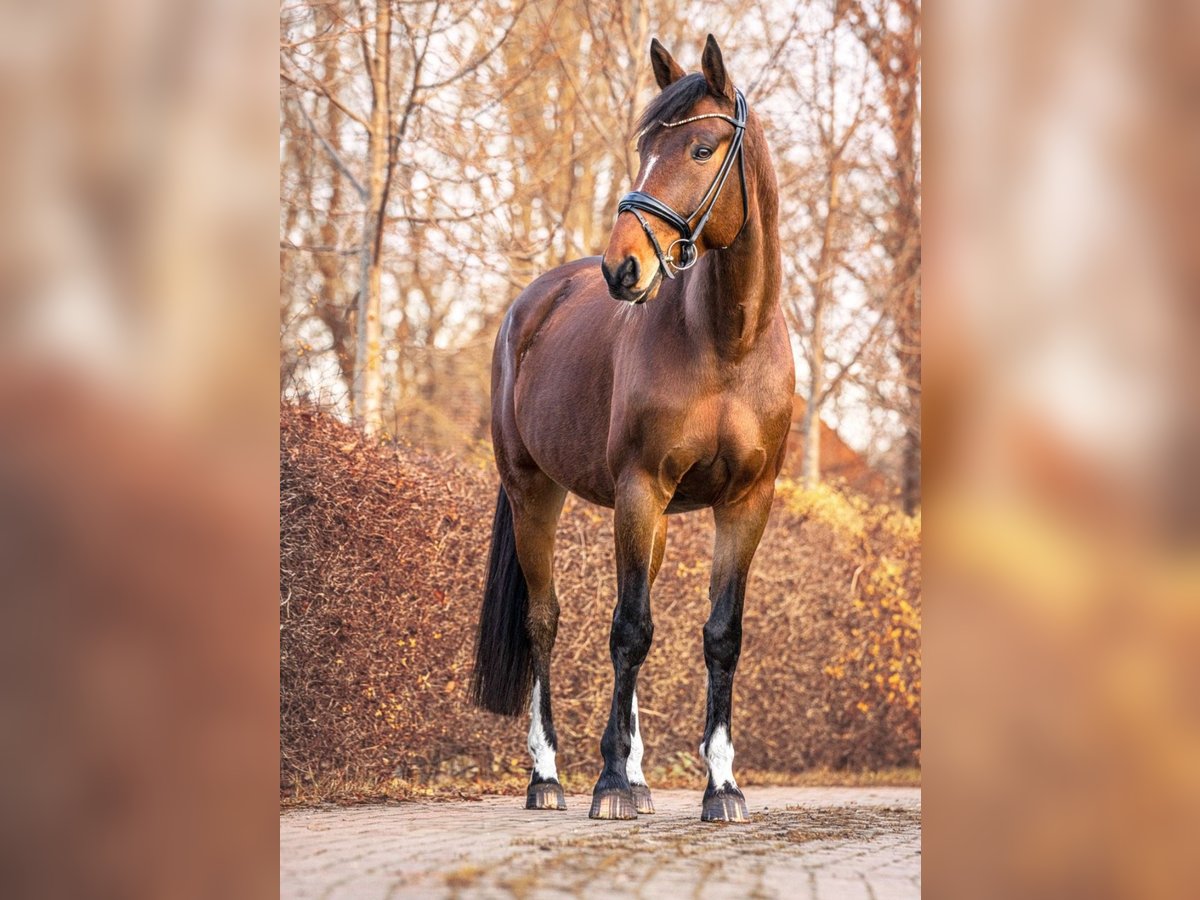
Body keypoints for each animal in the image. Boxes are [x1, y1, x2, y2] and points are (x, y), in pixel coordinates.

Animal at [471, 34, 794, 823]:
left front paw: (721, 786)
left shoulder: (746, 503)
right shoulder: (639, 488)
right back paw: (549, 777)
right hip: (535, 493)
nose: (623, 267)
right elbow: (629, 629)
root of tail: (531, 305)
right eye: (645, 147)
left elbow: (721, 635)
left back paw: (642, 780)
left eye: (703, 149)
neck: (728, 342)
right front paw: (610, 782)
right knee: (545, 620)